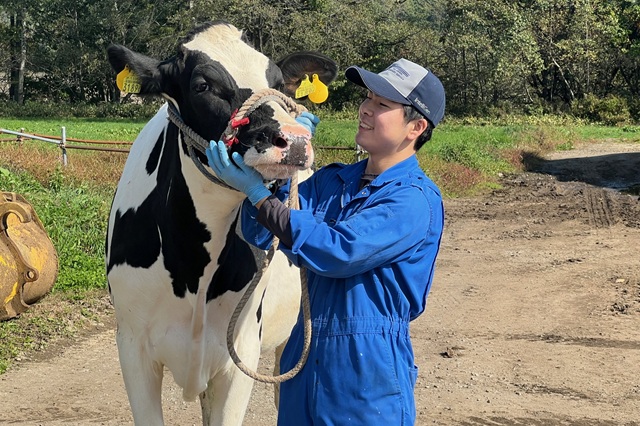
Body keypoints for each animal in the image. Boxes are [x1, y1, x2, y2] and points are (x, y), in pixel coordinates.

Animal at [105, 21, 337, 425]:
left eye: (277, 81)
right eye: (202, 85)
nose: (294, 139)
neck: (191, 268)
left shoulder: (240, 350)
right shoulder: (132, 346)